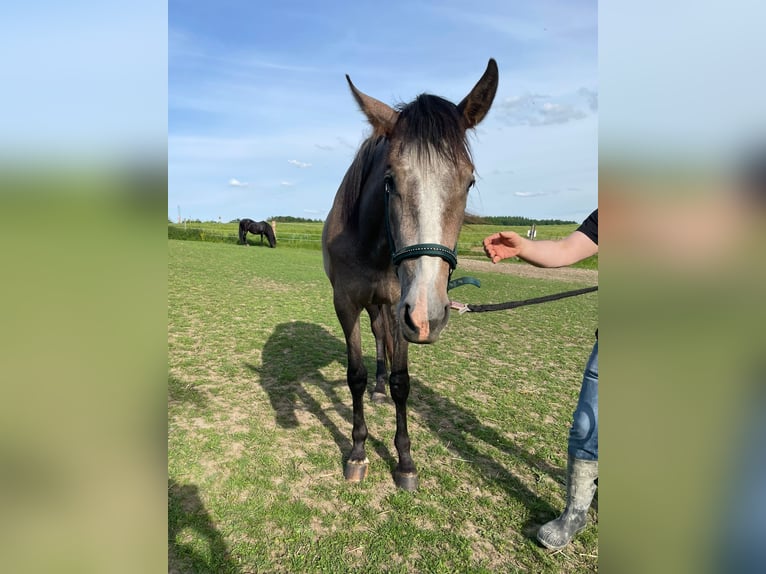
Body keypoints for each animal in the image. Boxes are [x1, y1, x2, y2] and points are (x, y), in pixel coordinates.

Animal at [320, 57, 500, 490]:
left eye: (469, 180)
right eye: (390, 180)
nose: (427, 315)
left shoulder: (398, 306)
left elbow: (402, 382)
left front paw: (404, 461)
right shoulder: (346, 304)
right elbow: (354, 375)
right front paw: (357, 452)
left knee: (383, 336)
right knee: (376, 337)